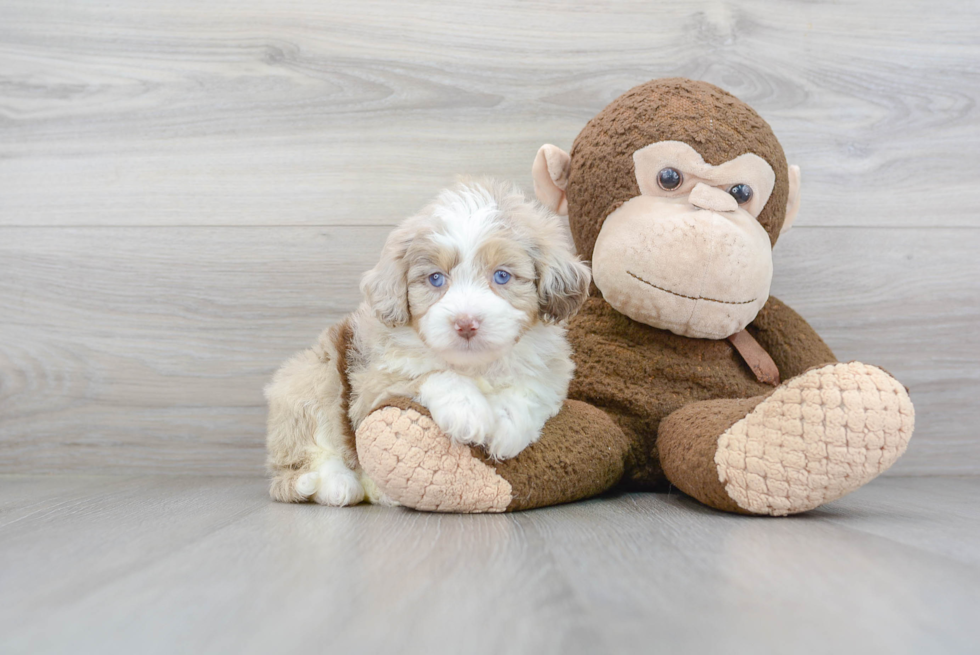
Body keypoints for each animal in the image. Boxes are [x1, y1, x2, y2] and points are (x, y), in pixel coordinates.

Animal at [262, 179, 588, 508]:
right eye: (435, 279)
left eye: (501, 276)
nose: (466, 323)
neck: (473, 365)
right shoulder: (372, 381)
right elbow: (430, 374)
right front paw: (467, 411)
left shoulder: (551, 370)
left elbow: (531, 388)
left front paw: (507, 425)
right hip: (313, 382)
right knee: (309, 454)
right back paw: (338, 485)